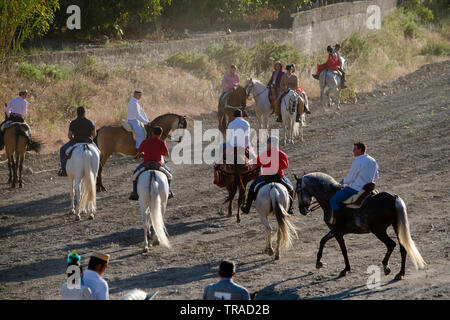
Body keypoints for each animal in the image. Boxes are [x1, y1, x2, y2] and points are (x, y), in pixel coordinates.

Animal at [296, 172, 426, 280]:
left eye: (297, 191)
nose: (302, 210)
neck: (329, 198)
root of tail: (393, 198)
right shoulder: (336, 232)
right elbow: (324, 241)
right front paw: (320, 263)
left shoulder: (337, 231)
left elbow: (339, 248)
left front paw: (343, 269)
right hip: (396, 226)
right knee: (402, 247)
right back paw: (400, 273)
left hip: (378, 230)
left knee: (391, 244)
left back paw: (386, 267)